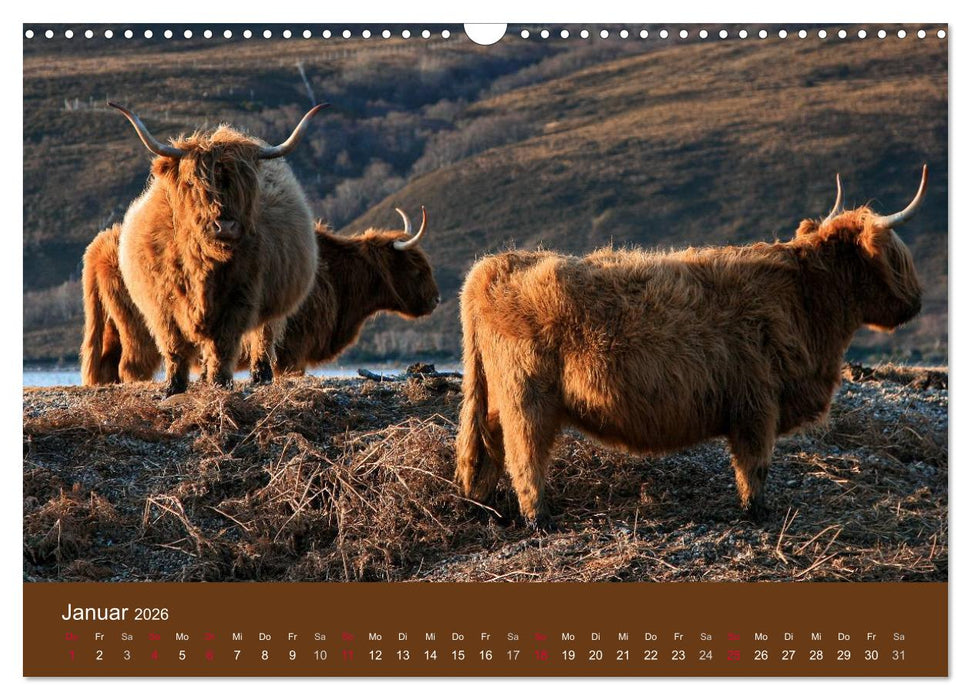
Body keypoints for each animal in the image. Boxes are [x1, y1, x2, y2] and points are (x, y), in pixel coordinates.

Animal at [80, 207, 439, 381]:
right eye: (418, 269)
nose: (436, 300)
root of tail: (99, 245)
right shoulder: (293, 350)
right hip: (142, 330)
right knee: (131, 367)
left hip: (113, 325)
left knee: (107, 365)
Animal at [105, 102, 324, 395]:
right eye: (193, 184)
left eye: (247, 186)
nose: (226, 226)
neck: (204, 266)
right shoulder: (162, 304)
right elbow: (174, 346)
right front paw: (174, 386)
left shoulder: (240, 299)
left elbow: (224, 344)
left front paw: (221, 382)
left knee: (263, 337)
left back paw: (260, 375)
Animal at [455, 167, 927, 530]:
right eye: (896, 254)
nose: (918, 302)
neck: (807, 299)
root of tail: (495, 264)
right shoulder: (757, 404)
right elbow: (754, 465)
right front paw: (756, 511)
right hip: (527, 397)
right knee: (525, 456)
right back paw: (539, 518)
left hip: (498, 396)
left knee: (488, 443)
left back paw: (486, 506)